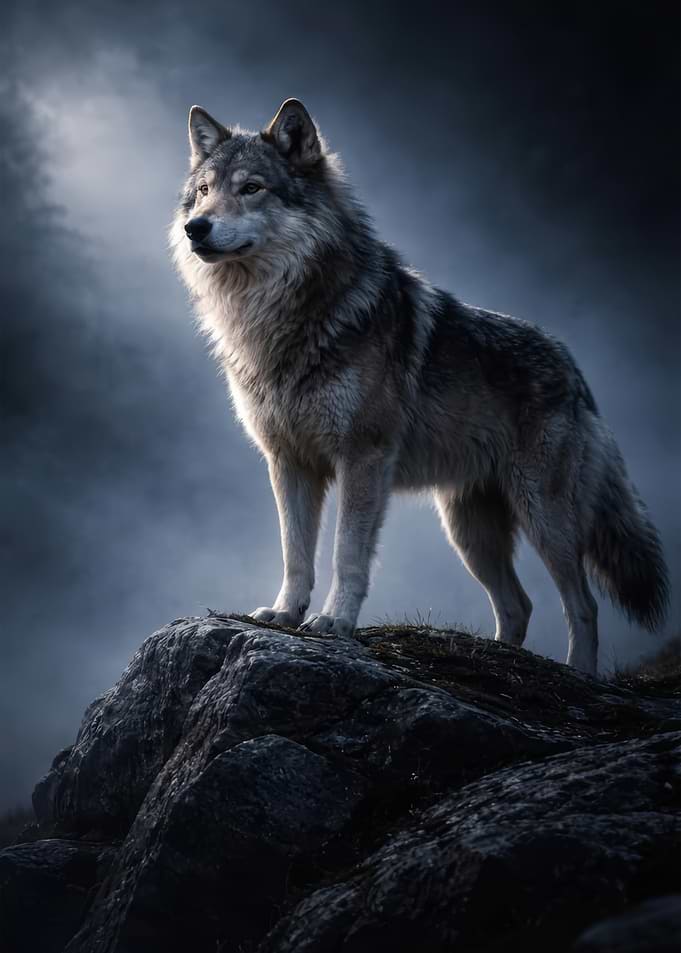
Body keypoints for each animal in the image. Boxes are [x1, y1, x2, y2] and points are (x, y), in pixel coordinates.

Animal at [170, 98, 669, 675]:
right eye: (205, 190)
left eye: (251, 188)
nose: (196, 227)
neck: (280, 316)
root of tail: (576, 372)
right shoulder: (288, 462)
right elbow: (295, 553)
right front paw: (284, 614)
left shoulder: (363, 458)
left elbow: (346, 553)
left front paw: (334, 622)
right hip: (469, 533)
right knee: (519, 605)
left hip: (544, 519)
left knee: (582, 604)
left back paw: (579, 675)